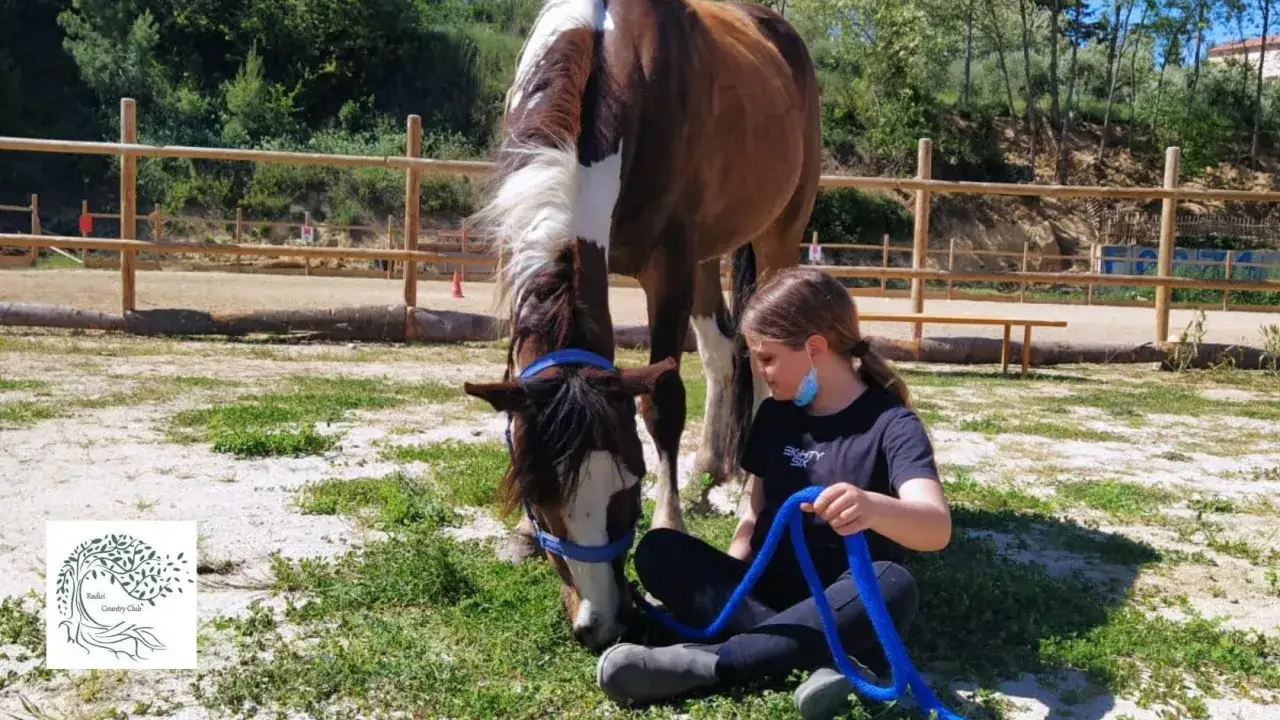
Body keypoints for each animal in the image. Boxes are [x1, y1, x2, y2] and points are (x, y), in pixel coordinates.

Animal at [461, 0, 821, 652]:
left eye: (627, 496)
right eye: (540, 501)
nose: (601, 623)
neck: (606, 51)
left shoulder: (669, 264)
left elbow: (662, 403)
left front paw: (668, 518)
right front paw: (522, 538)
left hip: (778, 233)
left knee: (763, 356)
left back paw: (741, 487)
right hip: (709, 254)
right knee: (721, 350)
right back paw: (711, 466)